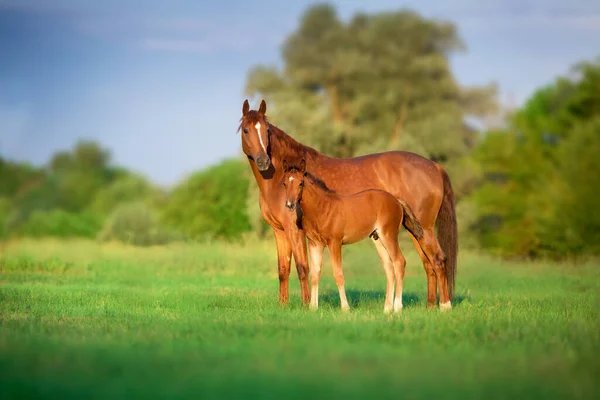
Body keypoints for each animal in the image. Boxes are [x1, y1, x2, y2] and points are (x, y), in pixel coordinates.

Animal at [282, 159, 436, 312]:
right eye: (284, 183)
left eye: (300, 183)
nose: (289, 205)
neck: (322, 208)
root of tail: (397, 200)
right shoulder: (315, 244)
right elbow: (314, 275)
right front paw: (313, 308)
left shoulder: (335, 243)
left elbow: (338, 274)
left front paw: (345, 308)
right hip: (378, 239)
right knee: (389, 268)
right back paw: (387, 308)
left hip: (389, 235)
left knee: (399, 262)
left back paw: (397, 307)